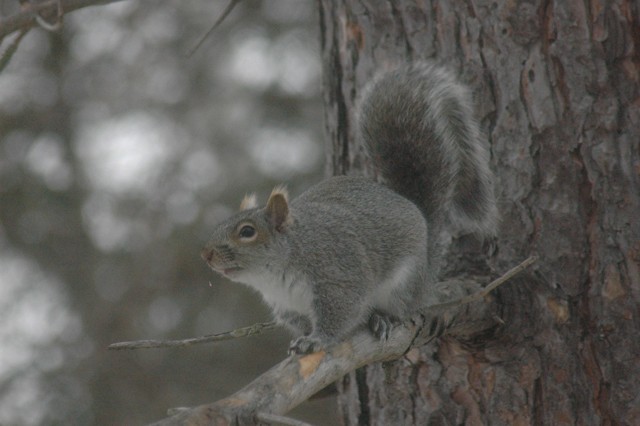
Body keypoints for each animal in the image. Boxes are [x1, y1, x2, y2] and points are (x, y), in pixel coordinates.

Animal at [201, 62, 498, 355]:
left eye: (247, 232)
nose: (207, 255)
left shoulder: (338, 278)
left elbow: (340, 315)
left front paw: (316, 340)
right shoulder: (288, 308)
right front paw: (304, 337)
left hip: (404, 280)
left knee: (401, 307)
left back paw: (383, 318)